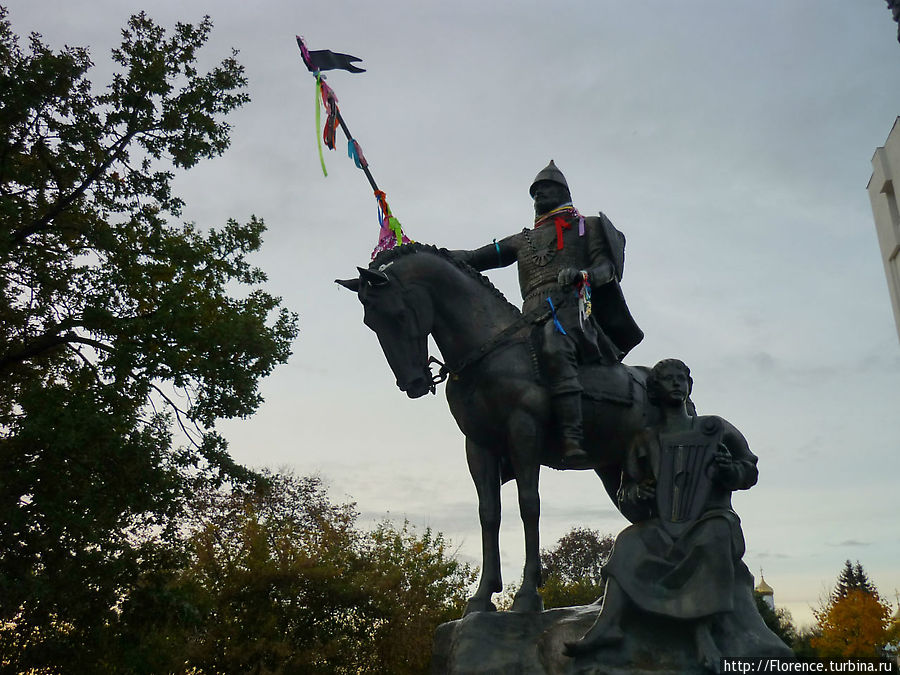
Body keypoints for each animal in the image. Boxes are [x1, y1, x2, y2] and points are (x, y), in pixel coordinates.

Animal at [338, 244, 668, 616]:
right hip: (612, 468)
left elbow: (528, 504)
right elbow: (489, 513)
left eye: (398, 315)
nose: (414, 384)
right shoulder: (478, 445)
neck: (486, 354)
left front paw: (527, 594)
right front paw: (482, 596)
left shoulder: (524, 433)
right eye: (370, 322)